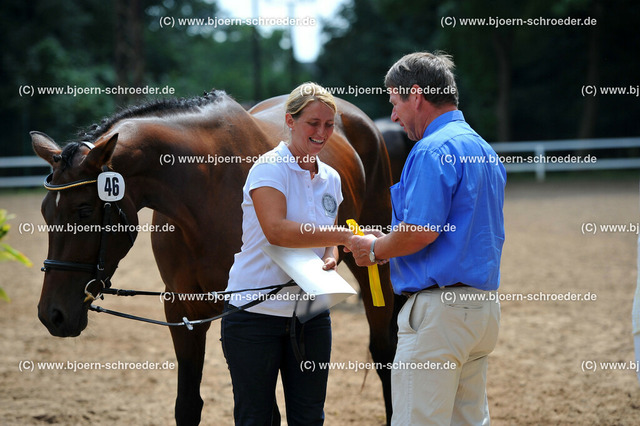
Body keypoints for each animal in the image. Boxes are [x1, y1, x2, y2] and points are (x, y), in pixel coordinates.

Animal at [32, 89, 402, 422]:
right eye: (46, 213)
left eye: (84, 211)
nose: (53, 315)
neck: (202, 196)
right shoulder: (181, 309)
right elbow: (188, 406)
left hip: (373, 265)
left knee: (385, 352)